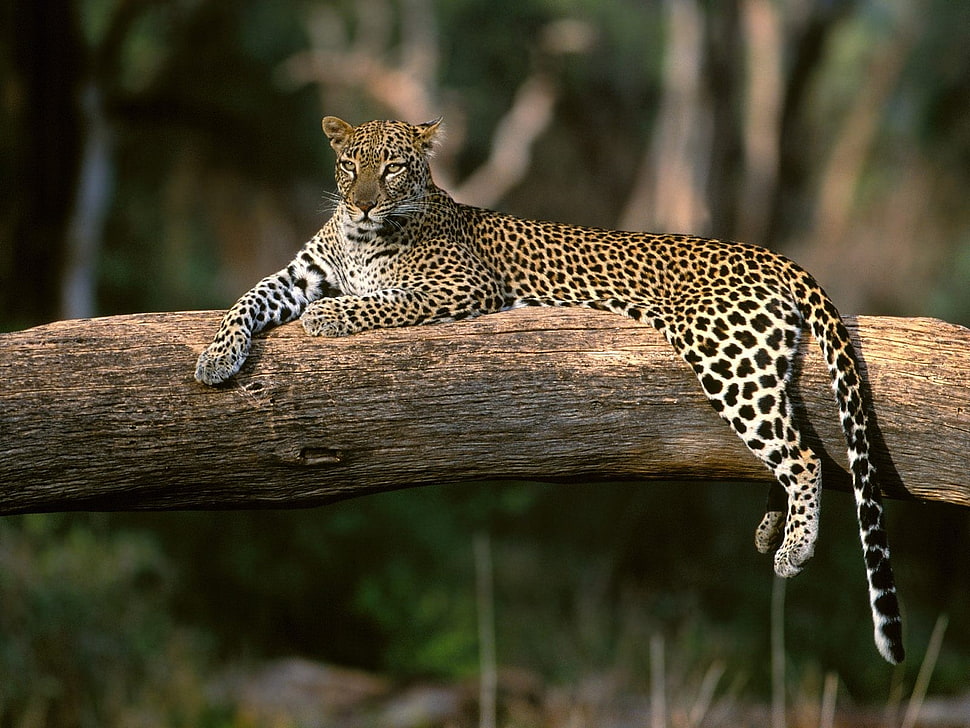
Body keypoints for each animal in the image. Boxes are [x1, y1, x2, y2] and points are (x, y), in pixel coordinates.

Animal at [195, 116, 904, 663]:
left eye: (393, 168)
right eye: (350, 165)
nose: (364, 202)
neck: (360, 236)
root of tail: (772, 254)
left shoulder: (459, 288)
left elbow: (377, 302)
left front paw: (327, 317)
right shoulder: (296, 275)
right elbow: (248, 298)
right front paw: (214, 359)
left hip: (722, 352)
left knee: (804, 454)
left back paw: (793, 550)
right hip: (756, 361)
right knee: (788, 439)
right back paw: (769, 529)